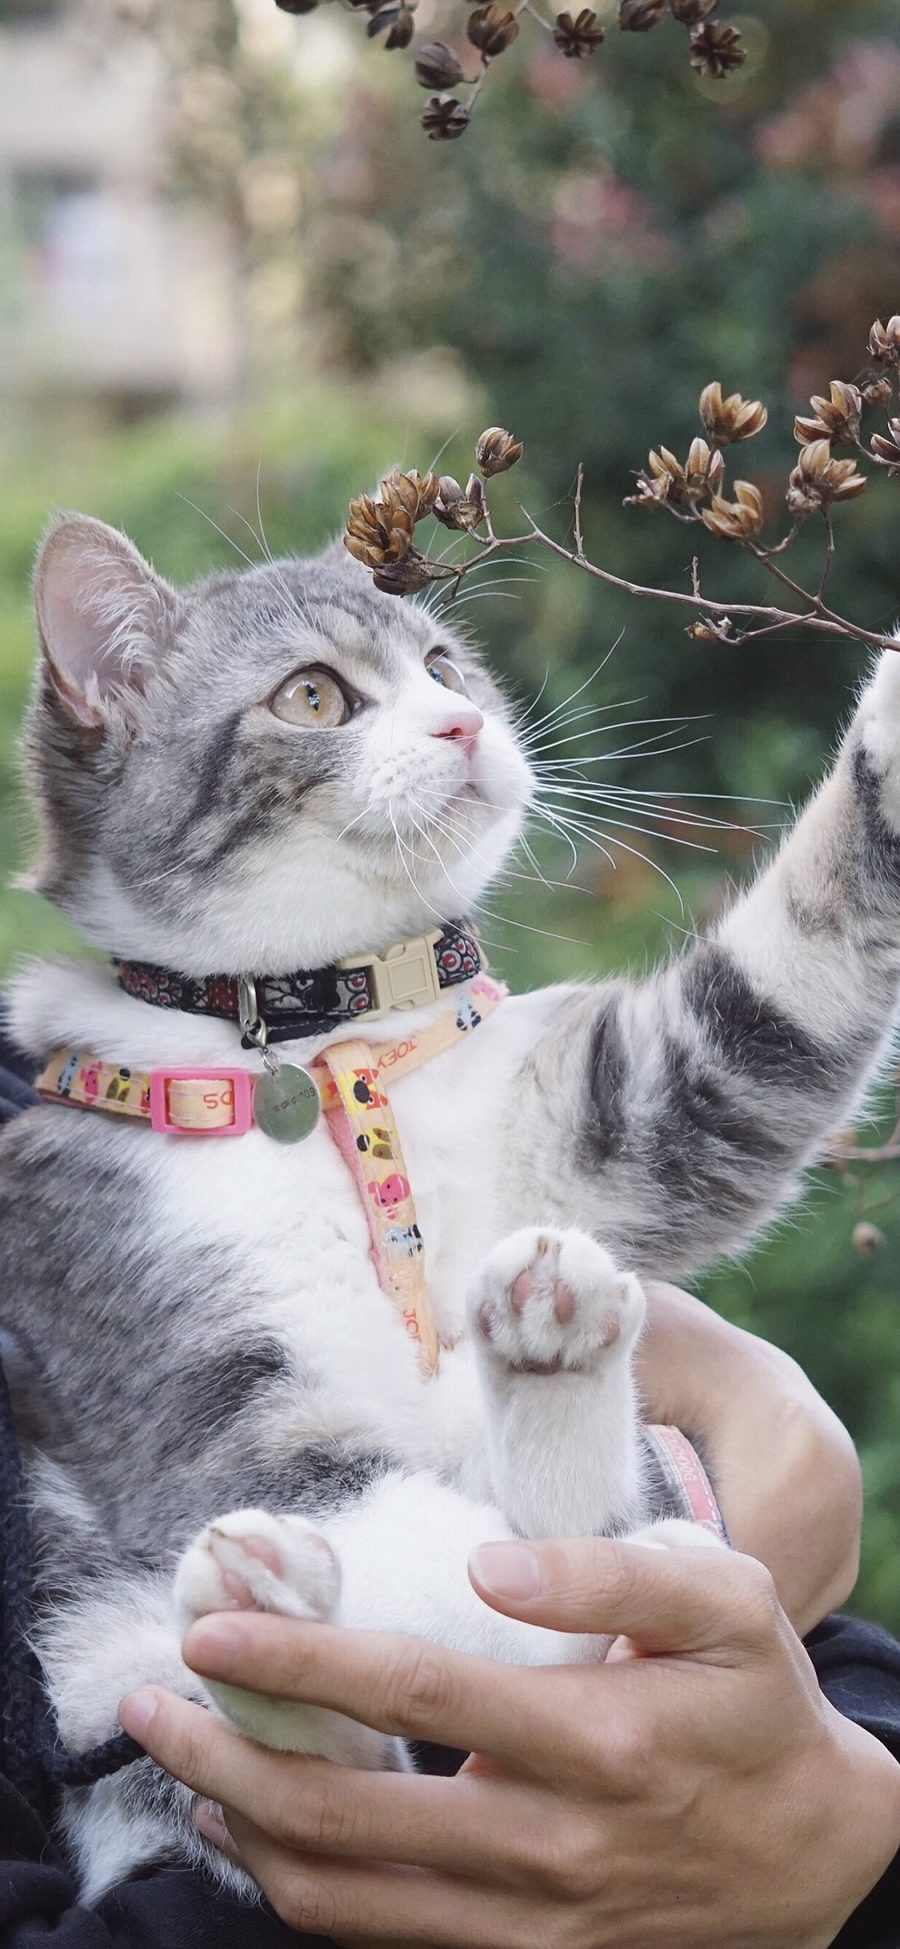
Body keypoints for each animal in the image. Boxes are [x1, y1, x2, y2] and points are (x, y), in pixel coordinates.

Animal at [1, 514, 900, 1902]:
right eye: (313, 696)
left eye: (440, 665)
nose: (465, 723)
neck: (328, 1051)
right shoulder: (134, 1320)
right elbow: (430, 1547)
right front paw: (604, 1619)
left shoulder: (623, 1122)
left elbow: (764, 1019)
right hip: (93, 1617)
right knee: (240, 1792)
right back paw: (263, 1615)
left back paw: (550, 1341)